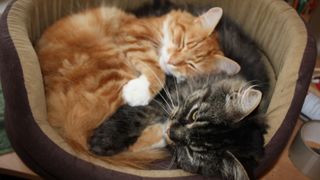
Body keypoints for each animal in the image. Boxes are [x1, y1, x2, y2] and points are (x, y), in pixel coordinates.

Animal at [36, 6, 239, 165]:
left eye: (191, 65)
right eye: (183, 43)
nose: (172, 61)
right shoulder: (132, 33)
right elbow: (156, 70)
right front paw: (141, 91)